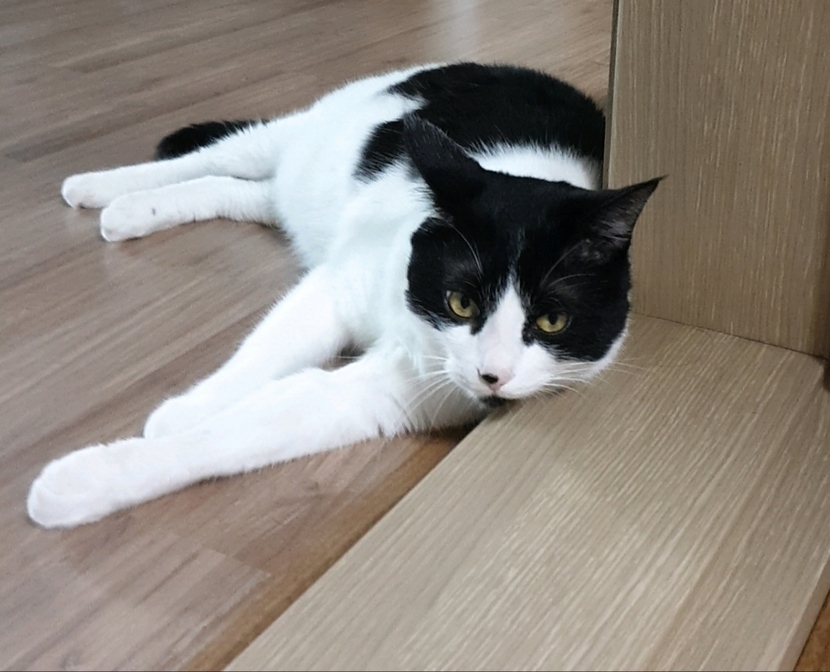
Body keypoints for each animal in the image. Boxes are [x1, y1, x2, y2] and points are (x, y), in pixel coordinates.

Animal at [27, 63, 659, 528]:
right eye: (461, 302)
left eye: (552, 321)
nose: (493, 376)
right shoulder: (337, 288)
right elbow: (257, 360)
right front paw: (184, 413)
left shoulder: (388, 393)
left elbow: (258, 425)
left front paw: (87, 481)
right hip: (306, 133)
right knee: (215, 156)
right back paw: (102, 188)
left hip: (298, 193)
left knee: (240, 191)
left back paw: (133, 211)